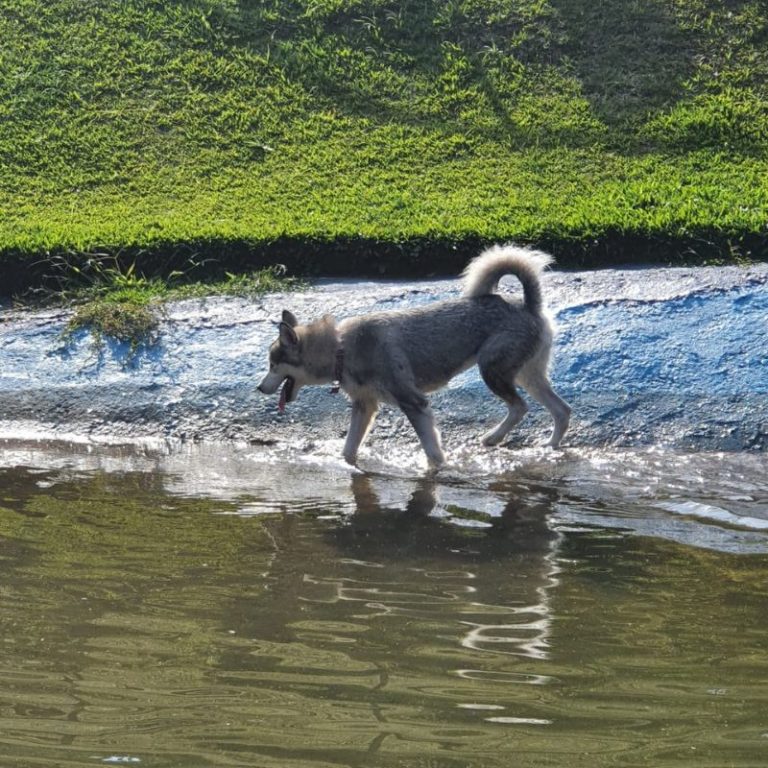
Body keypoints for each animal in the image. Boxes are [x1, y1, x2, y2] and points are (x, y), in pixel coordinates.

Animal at [258, 243, 568, 468]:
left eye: (273, 365)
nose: (259, 388)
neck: (341, 349)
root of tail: (529, 306)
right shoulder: (364, 406)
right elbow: (349, 448)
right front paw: (345, 465)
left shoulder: (414, 403)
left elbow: (432, 451)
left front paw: (437, 471)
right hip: (526, 375)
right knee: (561, 410)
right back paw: (549, 447)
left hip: (491, 370)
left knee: (520, 407)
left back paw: (495, 437)